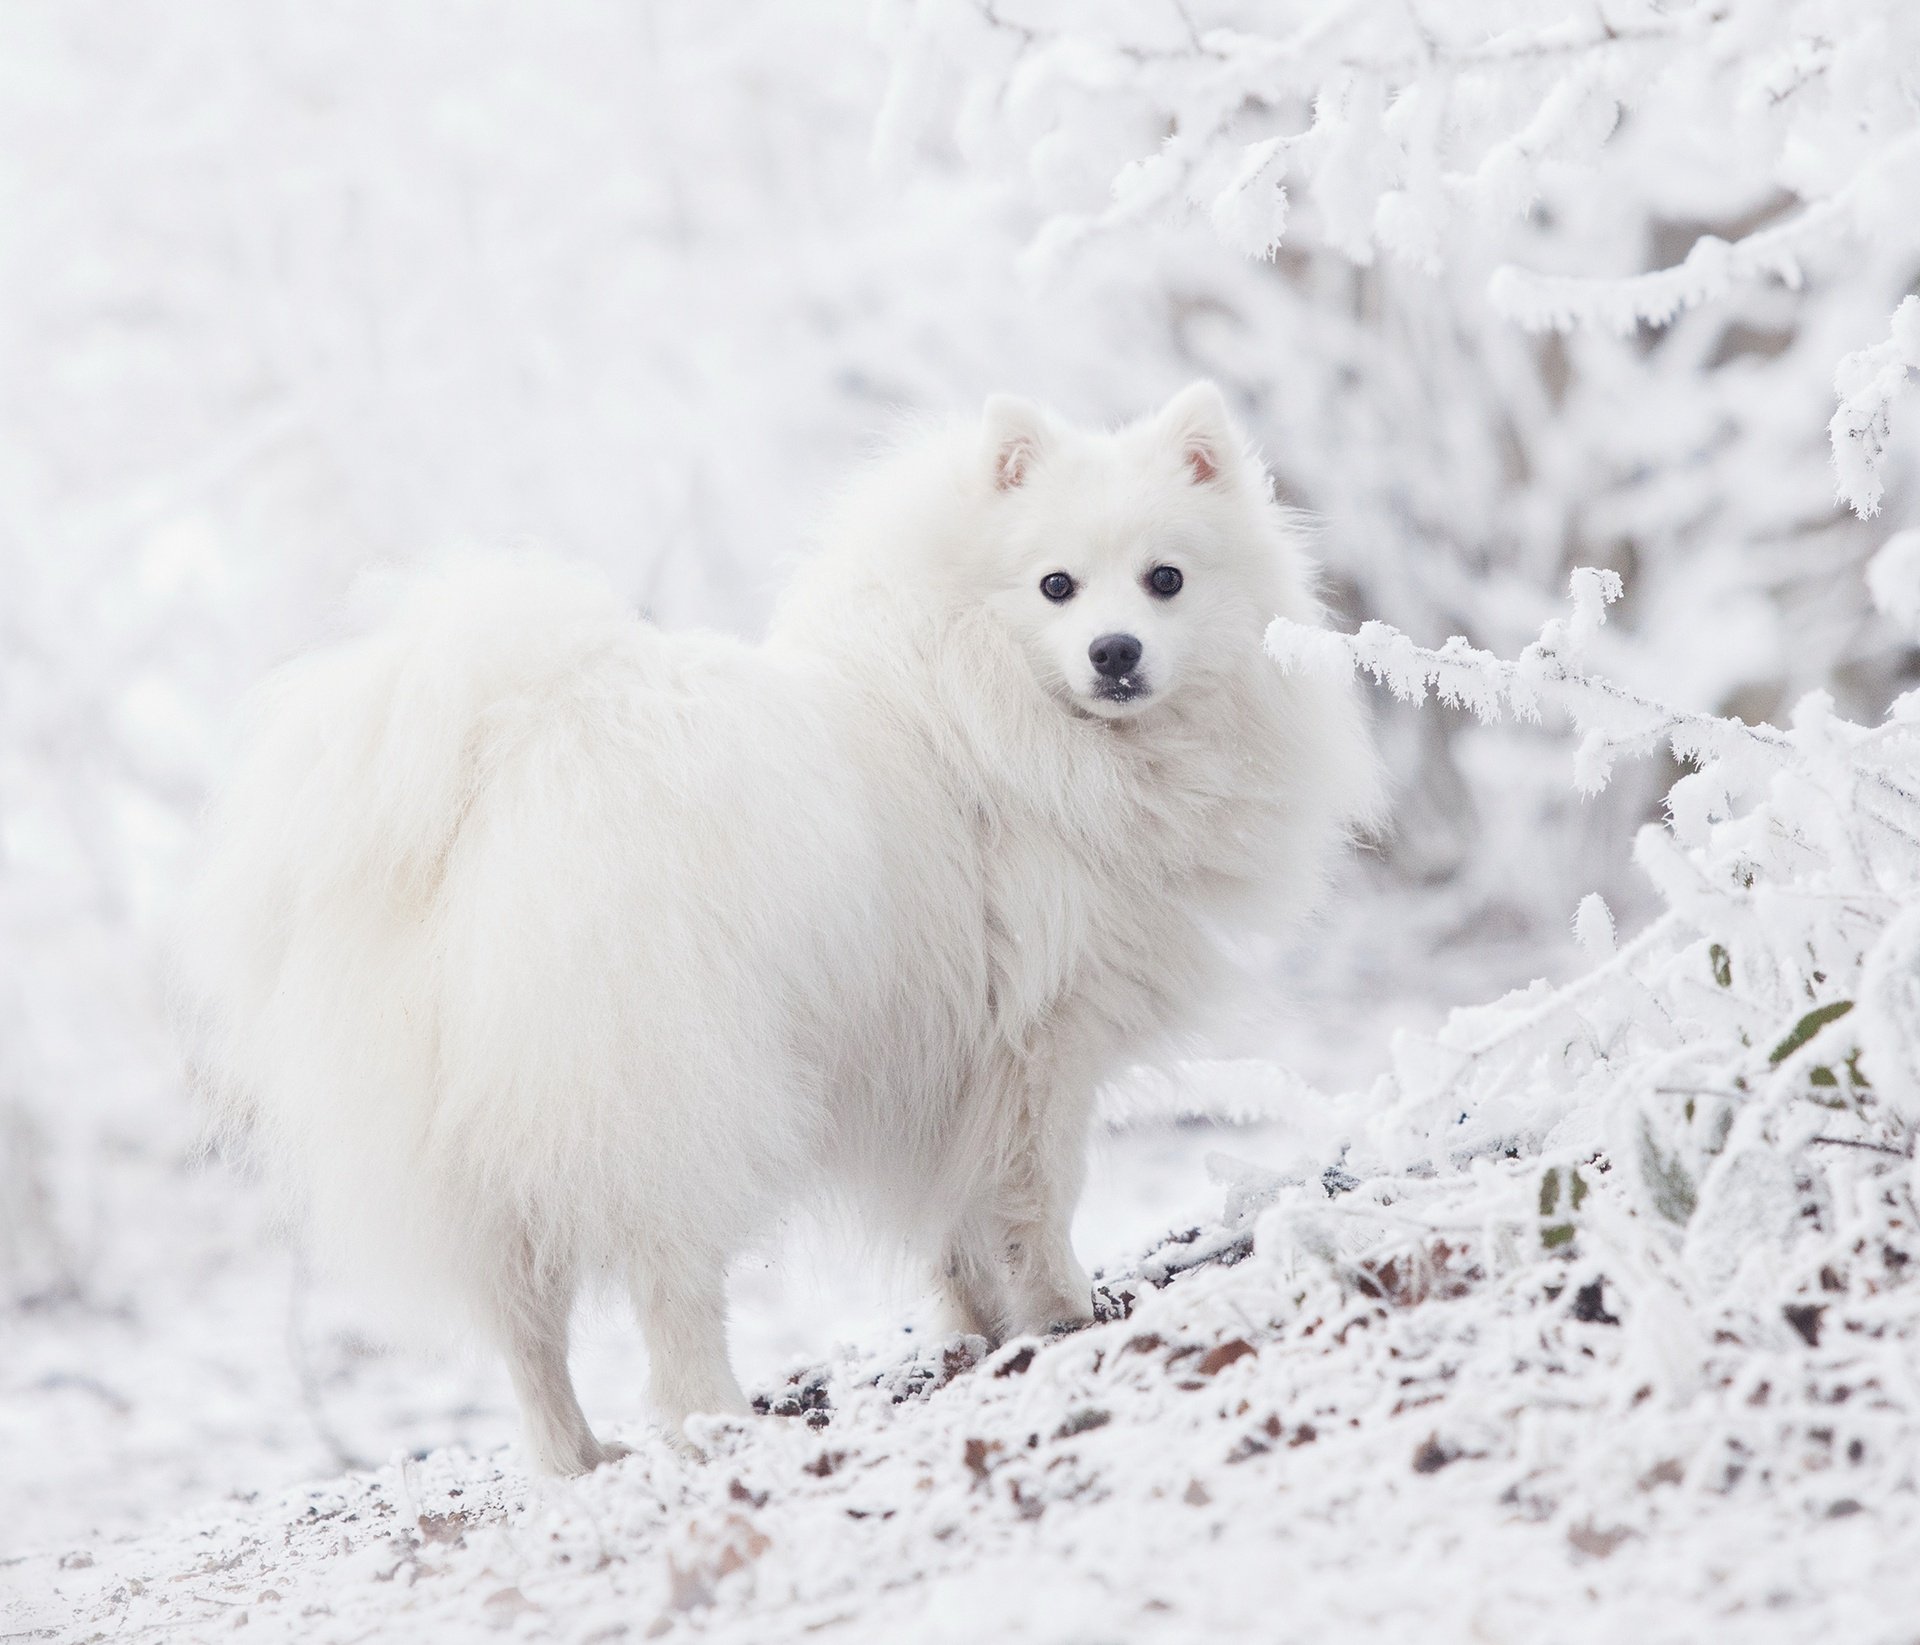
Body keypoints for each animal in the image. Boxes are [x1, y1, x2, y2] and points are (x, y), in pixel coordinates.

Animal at [176, 387, 1382, 1474]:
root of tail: (495, 774)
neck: (992, 701)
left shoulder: (942, 1063)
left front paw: (981, 1333)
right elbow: (1034, 1201)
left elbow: (955, 1225)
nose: (1116, 650)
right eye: (1057, 586)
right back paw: (716, 1427)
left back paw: (576, 1457)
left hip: (487, 1153)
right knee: (670, 1288)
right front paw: (1063, 1316)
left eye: (1166, 579)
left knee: (524, 1329)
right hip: (673, 1094)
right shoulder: (1042, 1043)